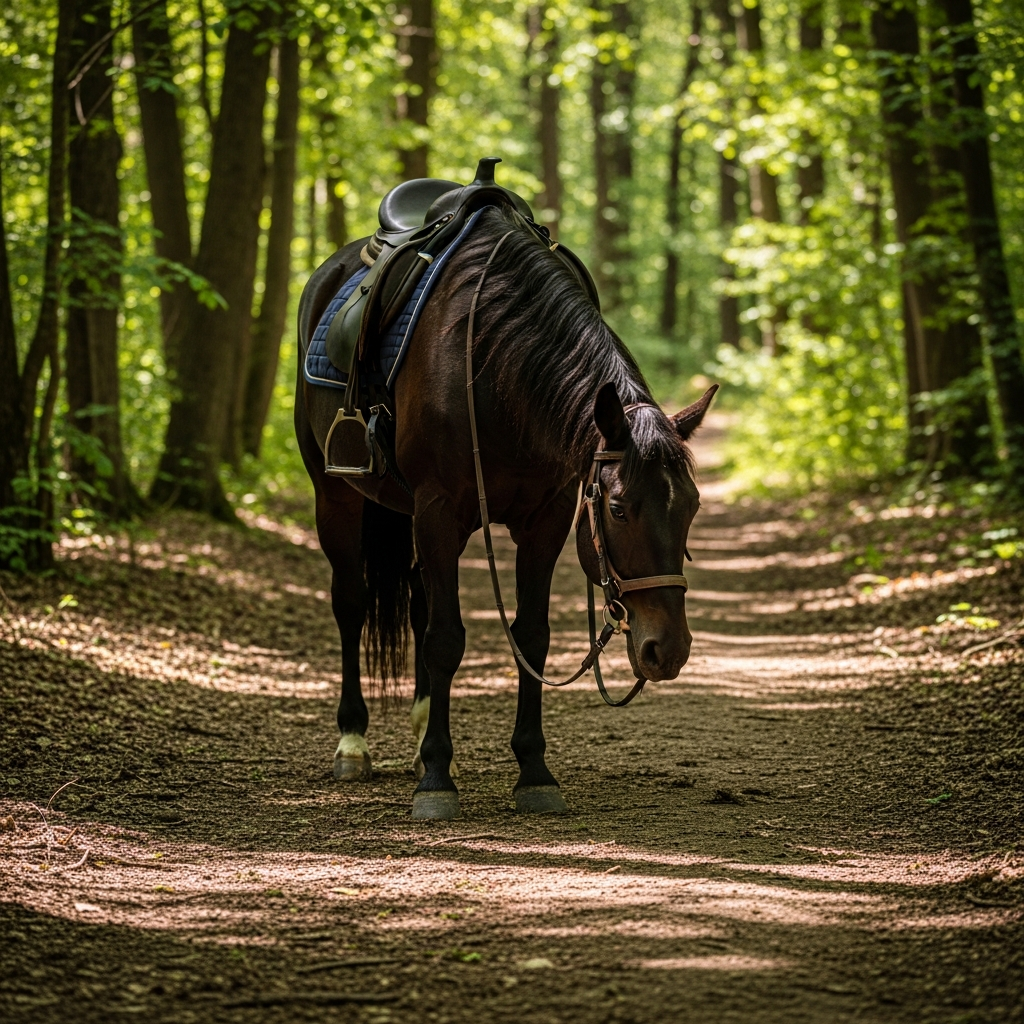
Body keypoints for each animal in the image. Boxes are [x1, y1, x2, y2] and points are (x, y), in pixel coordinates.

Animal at [295, 202, 716, 820]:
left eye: (691, 508)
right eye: (618, 509)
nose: (668, 650)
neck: (493, 369)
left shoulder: (547, 518)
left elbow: (530, 636)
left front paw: (533, 771)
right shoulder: (438, 511)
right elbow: (446, 639)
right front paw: (437, 780)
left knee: (418, 605)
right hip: (338, 496)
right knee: (351, 603)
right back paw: (354, 742)